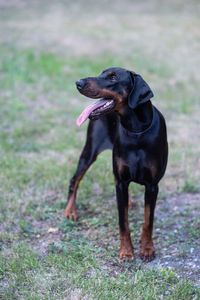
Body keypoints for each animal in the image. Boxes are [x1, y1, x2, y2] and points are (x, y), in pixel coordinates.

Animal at [65, 67, 168, 260]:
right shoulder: (120, 182)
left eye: (113, 77)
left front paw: (147, 248)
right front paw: (126, 251)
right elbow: (123, 221)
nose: (78, 82)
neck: (136, 131)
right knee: (75, 179)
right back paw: (70, 211)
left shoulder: (152, 185)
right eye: (101, 73)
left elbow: (148, 220)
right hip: (89, 151)